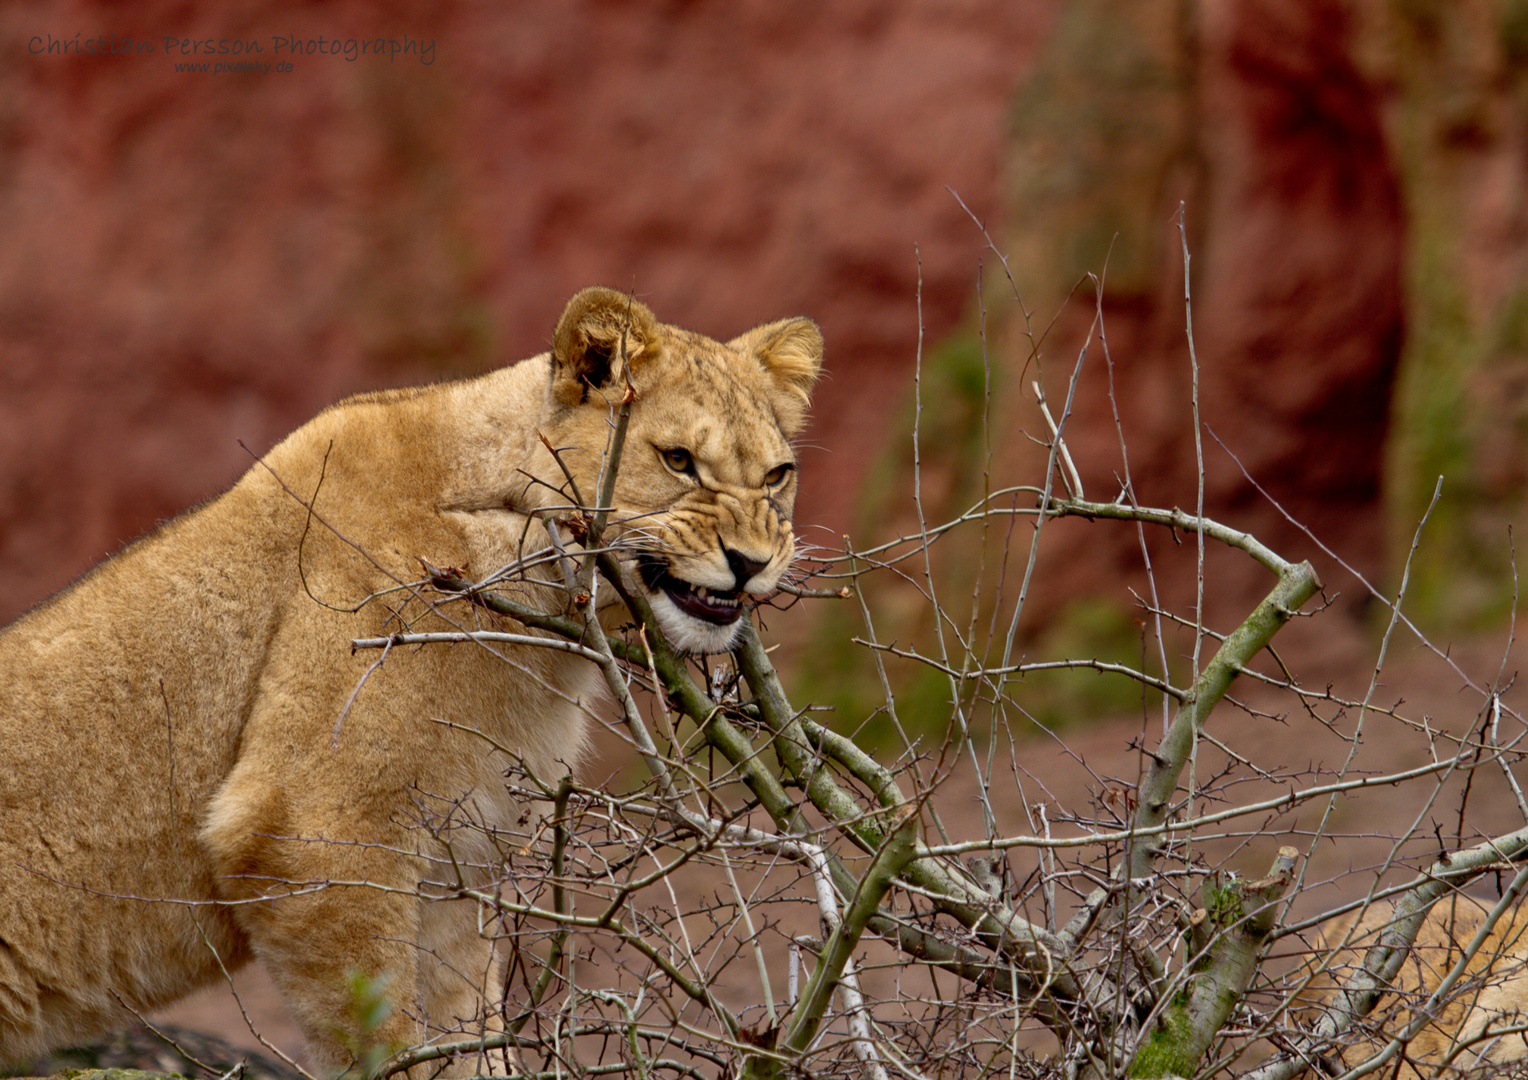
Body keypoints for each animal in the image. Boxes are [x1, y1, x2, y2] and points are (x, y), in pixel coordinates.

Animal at [0, 287, 825, 1075]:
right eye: (679, 460)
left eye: (778, 475)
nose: (752, 563)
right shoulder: (317, 835)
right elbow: (387, 1038)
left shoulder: (459, 858)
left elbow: (468, 1034)